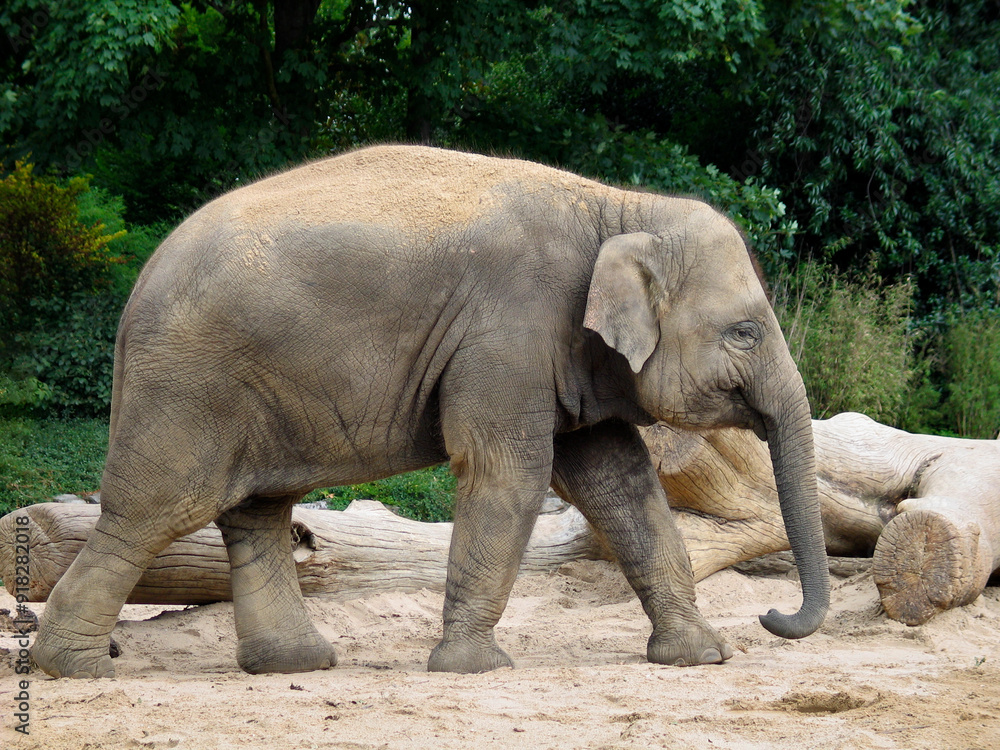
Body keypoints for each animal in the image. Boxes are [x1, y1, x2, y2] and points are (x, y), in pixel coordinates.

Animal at [31, 145, 829, 678]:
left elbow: (621, 482)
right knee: (154, 511)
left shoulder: (566, 353)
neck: (617, 206)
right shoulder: (509, 331)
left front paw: (701, 656)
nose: (773, 617)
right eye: (745, 332)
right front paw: (474, 667)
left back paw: (296, 663)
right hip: (187, 386)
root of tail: (136, 288)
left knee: (255, 511)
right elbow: (510, 474)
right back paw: (73, 668)